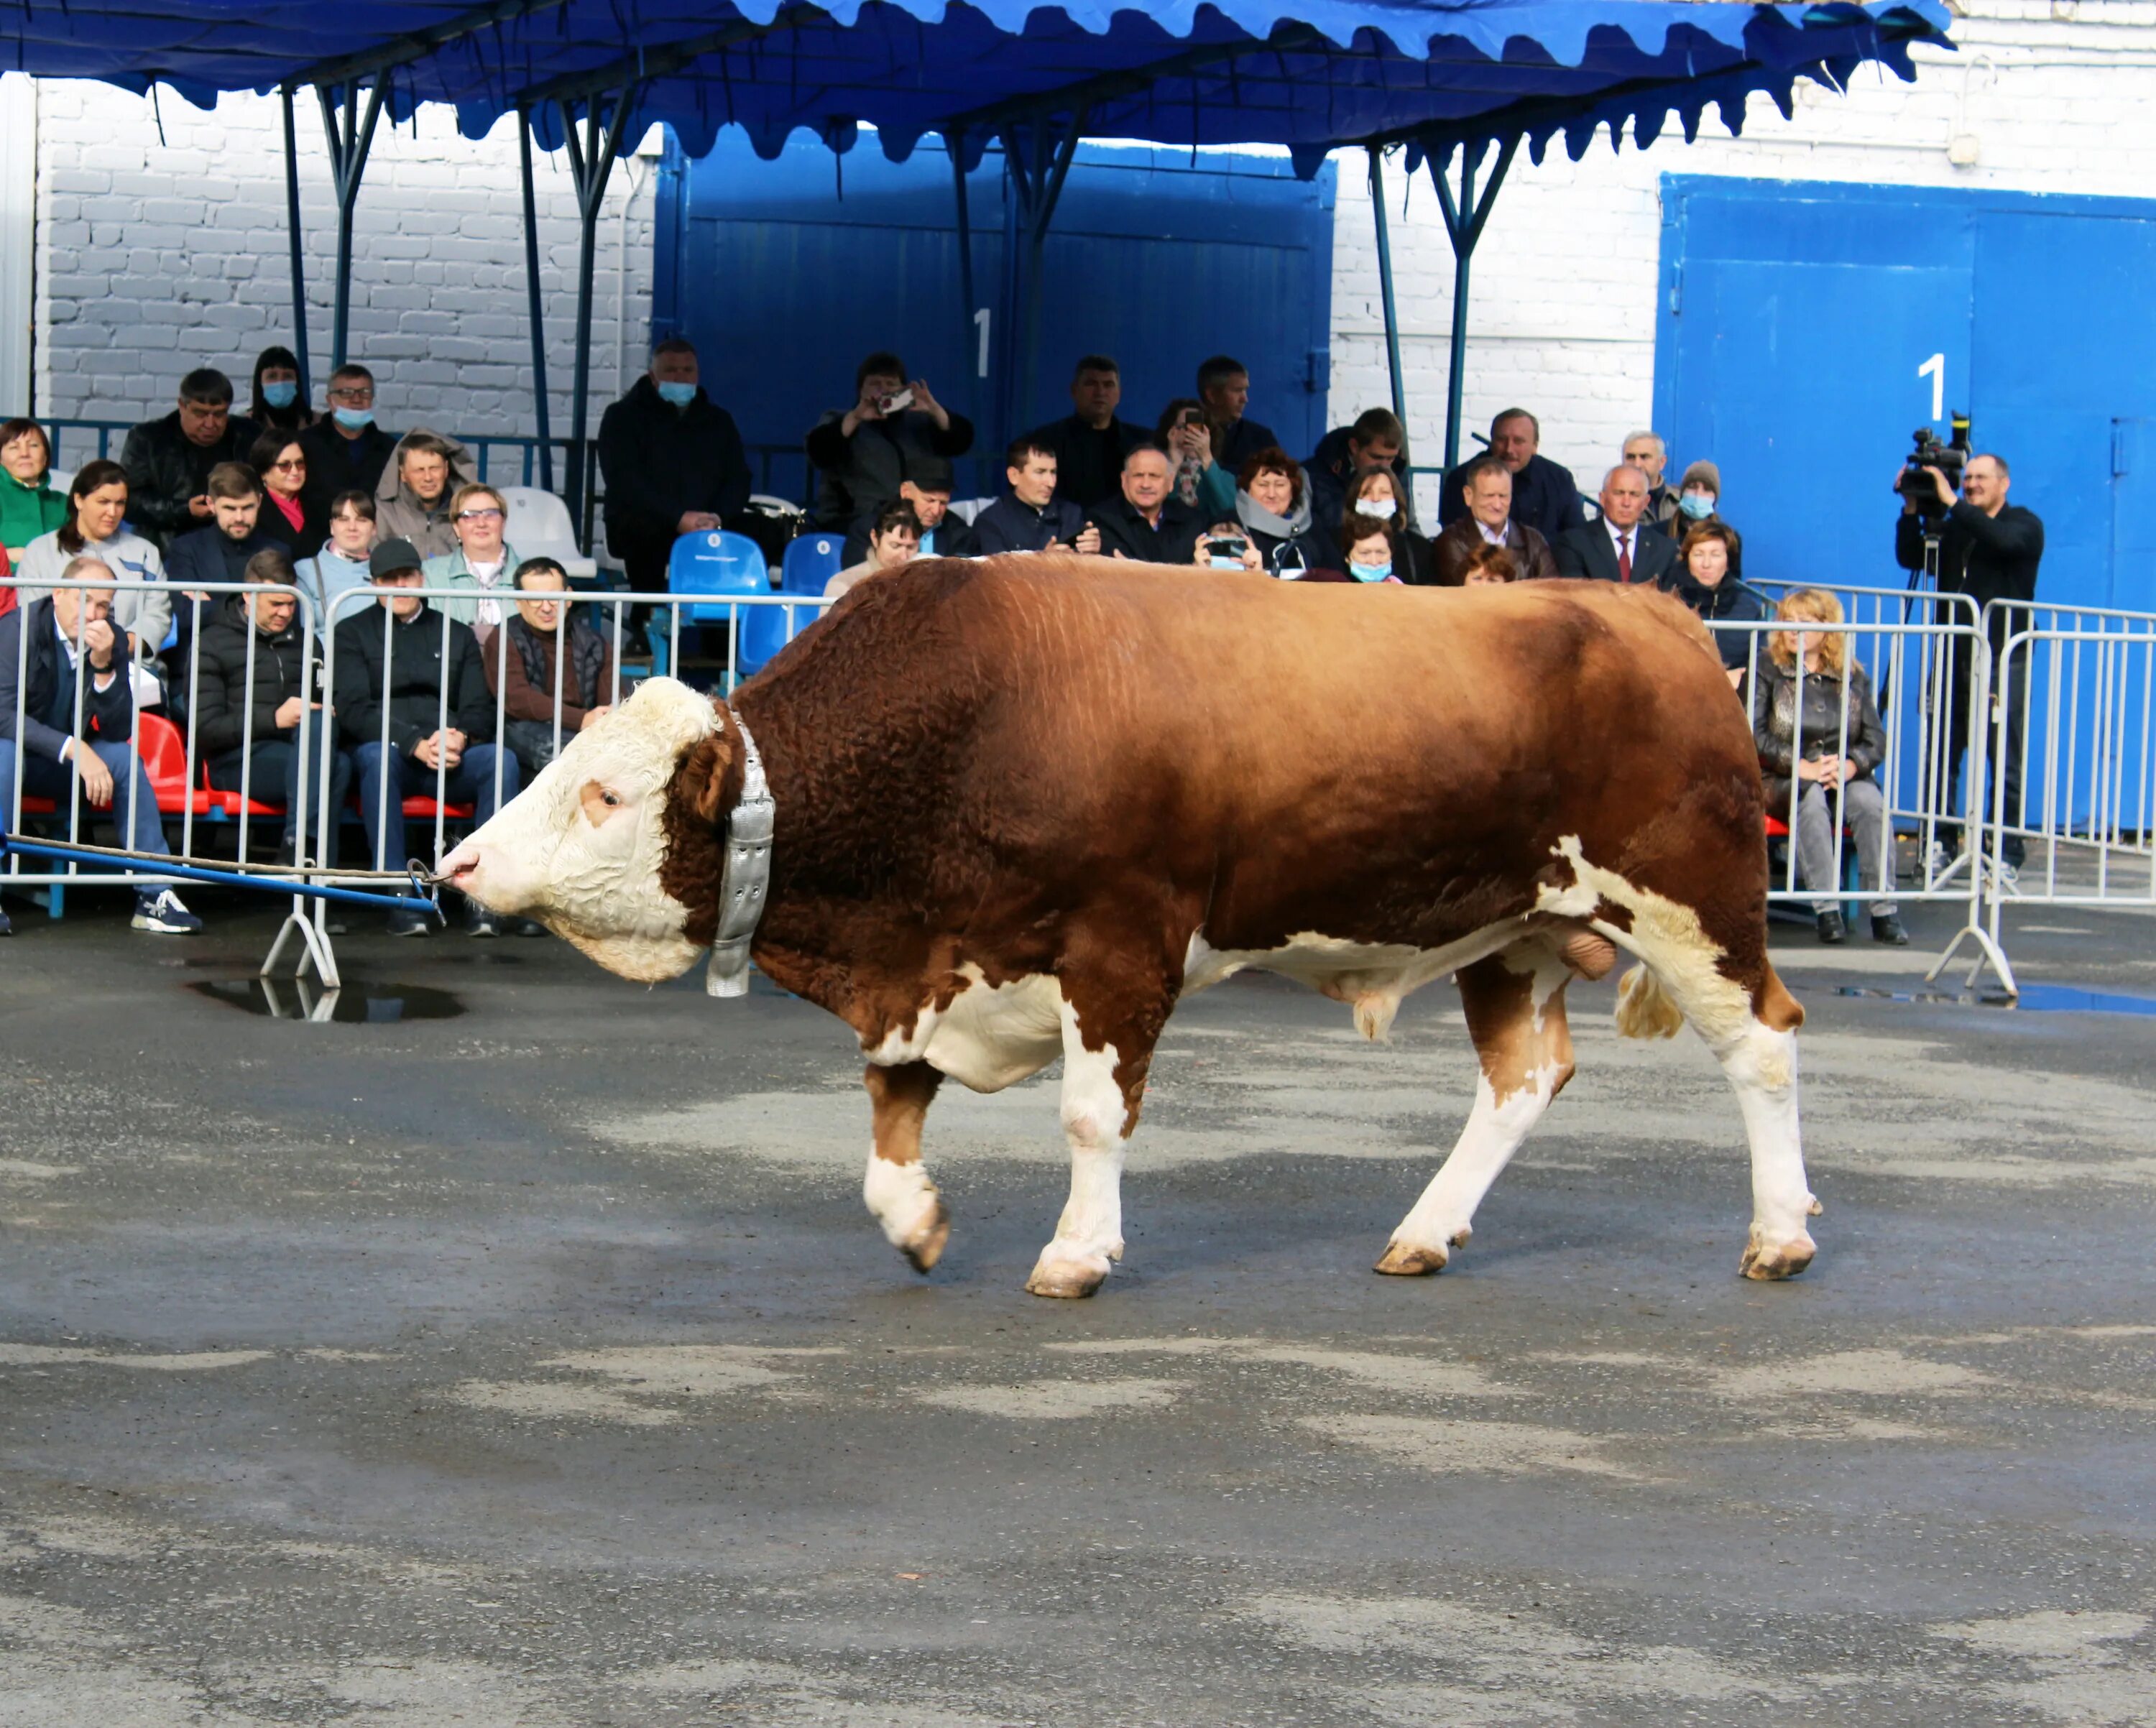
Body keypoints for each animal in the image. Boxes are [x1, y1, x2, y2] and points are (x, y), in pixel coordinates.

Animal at [438, 555, 1820, 1293]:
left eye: (605, 794)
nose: (457, 862)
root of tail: (1652, 610)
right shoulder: (927, 963)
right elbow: (888, 1118)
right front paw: (916, 1221)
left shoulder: (1120, 944)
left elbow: (1092, 1116)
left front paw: (1078, 1252)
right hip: (1520, 933)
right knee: (1523, 1079)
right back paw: (1426, 1233)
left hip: (1695, 906)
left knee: (1763, 1046)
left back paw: (1781, 1234)